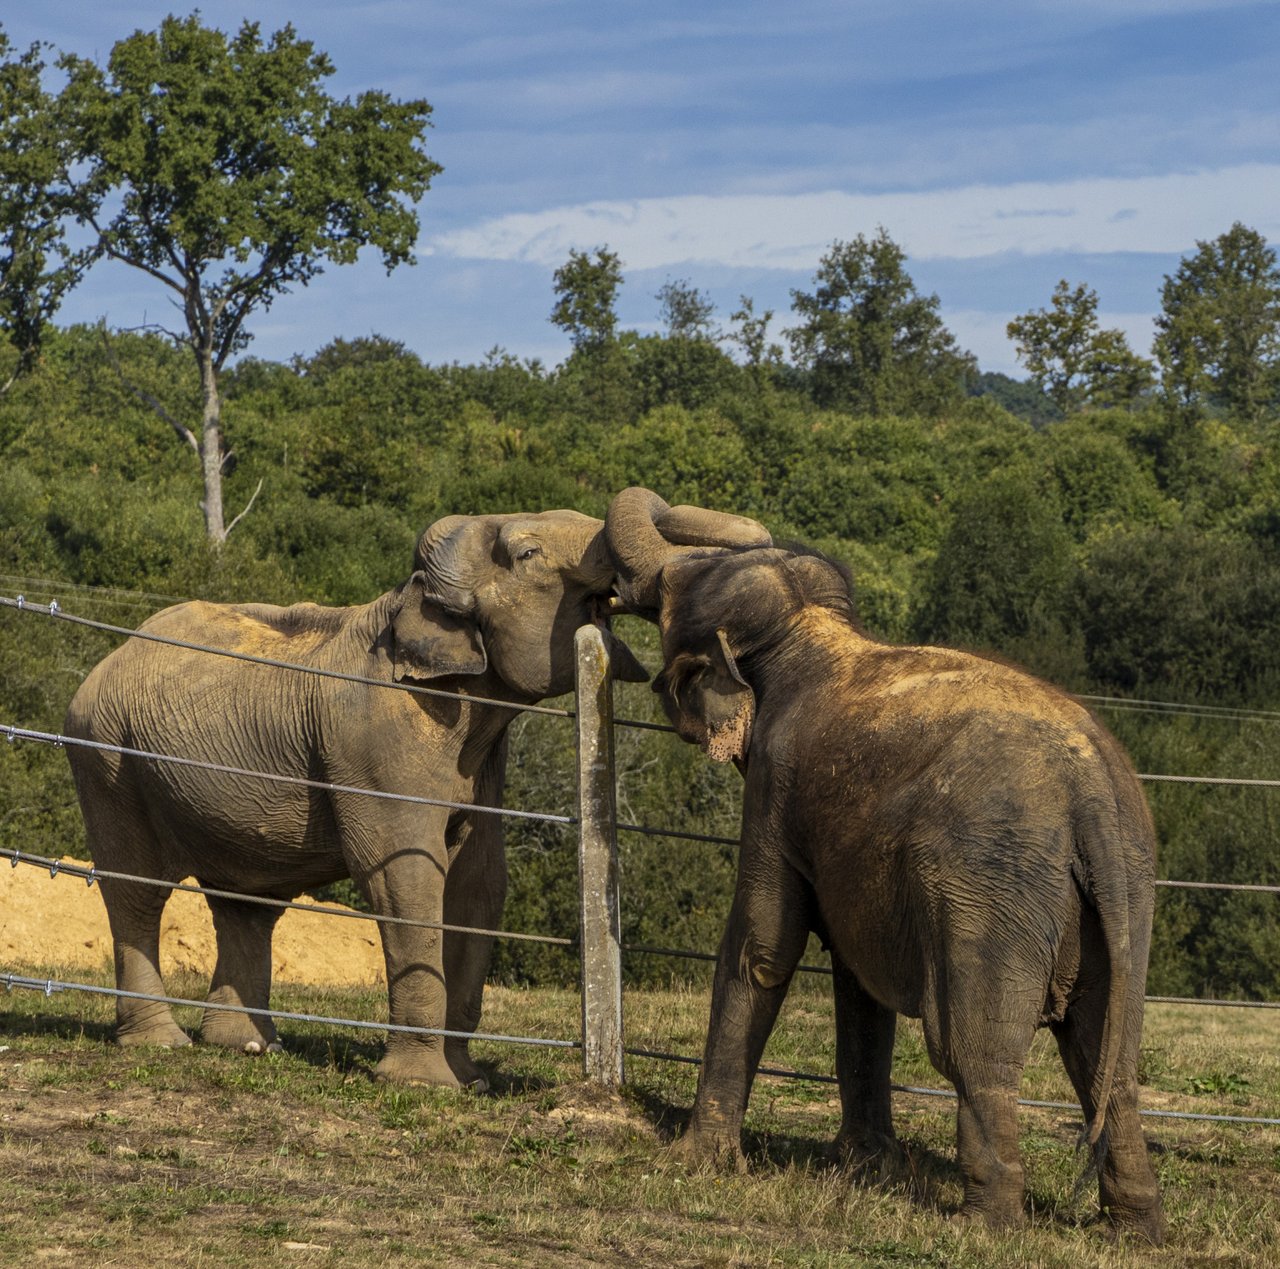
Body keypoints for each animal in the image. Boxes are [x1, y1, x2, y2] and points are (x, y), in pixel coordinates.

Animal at [604, 486, 1167, 1239]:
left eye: (670, 595)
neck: (810, 630)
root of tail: (1093, 798)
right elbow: (856, 977)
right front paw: (866, 1166)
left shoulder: (776, 790)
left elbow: (762, 947)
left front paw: (696, 1162)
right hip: (1126, 892)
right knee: (1109, 1060)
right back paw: (1137, 1228)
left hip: (993, 891)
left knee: (974, 1052)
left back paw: (984, 1225)